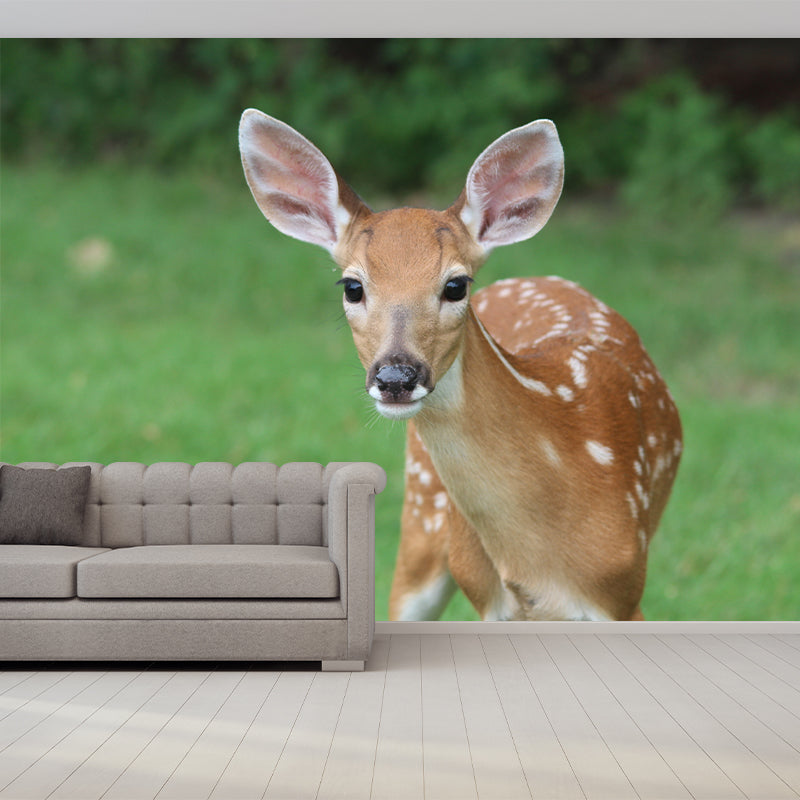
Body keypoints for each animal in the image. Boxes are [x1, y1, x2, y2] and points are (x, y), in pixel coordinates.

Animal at [238, 109, 683, 622]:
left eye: (455, 285)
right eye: (352, 286)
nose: (396, 377)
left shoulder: (623, 592)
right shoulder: (489, 599)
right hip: (423, 518)